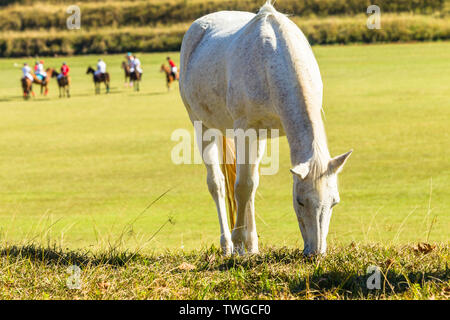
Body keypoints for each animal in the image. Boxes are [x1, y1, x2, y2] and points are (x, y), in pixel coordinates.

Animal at [178, 1, 352, 256]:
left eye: (334, 201)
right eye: (300, 201)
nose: (315, 253)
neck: (271, 63)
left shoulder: (256, 134)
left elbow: (250, 185)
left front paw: (249, 245)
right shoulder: (244, 130)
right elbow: (241, 186)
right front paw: (238, 243)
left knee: (250, 182)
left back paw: (252, 245)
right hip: (203, 125)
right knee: (218, 184)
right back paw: (228, 244)